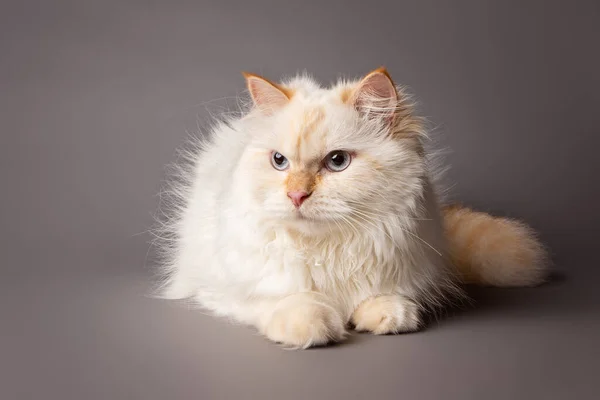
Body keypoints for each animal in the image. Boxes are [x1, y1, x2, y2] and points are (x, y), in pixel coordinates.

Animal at [155, 67, 548, 348]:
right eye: (279, 161)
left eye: (337, 161)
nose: (296, 196)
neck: (327, 248)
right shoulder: (225, 287)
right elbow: (283, 298)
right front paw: (314, 324)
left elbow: (382, 296)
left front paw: (387, 314)